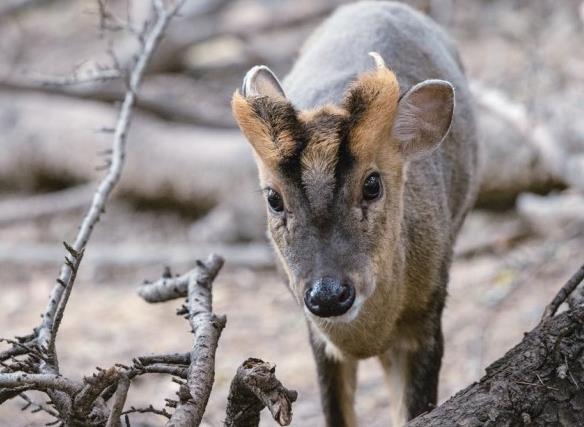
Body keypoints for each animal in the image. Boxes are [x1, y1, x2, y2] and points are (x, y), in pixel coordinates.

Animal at [232, 1, 480, 426]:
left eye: (372, 184)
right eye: (274, 198)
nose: (329, 296)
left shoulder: (428, 315)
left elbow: (414, 408)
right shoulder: (317, 336)